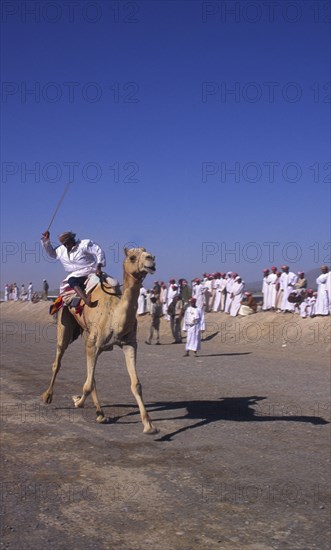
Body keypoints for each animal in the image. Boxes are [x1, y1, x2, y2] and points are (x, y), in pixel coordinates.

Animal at [41, 249, 158, 436]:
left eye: (149, 254)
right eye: (132, 257)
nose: (151, 260)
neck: (115, 316)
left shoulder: (129, 344)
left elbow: (136, 384)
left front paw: (149, 425)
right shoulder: (94, 345)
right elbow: (87, 385)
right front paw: (78, 402)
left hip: (86, 334)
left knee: (90, 375)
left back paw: (100, 413)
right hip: (64, 324)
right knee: (58, 361)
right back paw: (47, 396)